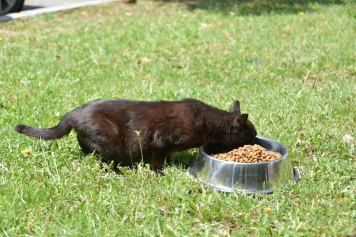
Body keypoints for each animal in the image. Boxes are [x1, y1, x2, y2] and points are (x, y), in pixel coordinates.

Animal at [14, 98, 256, 170]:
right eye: (251, 136)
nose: (255, 142)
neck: (207, 123)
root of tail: (72, 113)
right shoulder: (160, 141)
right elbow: (158, 161)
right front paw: (160, 173)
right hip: (110, 138)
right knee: (103, 160)